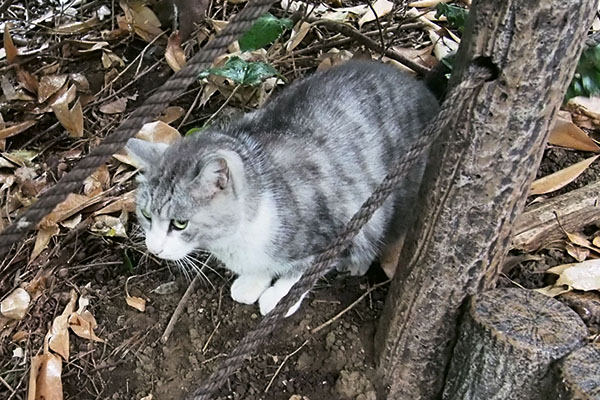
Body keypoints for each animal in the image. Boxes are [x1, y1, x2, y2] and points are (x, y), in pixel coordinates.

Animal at [126, 60, 438, 316]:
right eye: (146, 214)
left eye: (180, 223)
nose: (154, 248)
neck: (234, 238)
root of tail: (421, 89)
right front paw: (253, 282)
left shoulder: (339, 225)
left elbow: (302, 271)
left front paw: (280, 297)